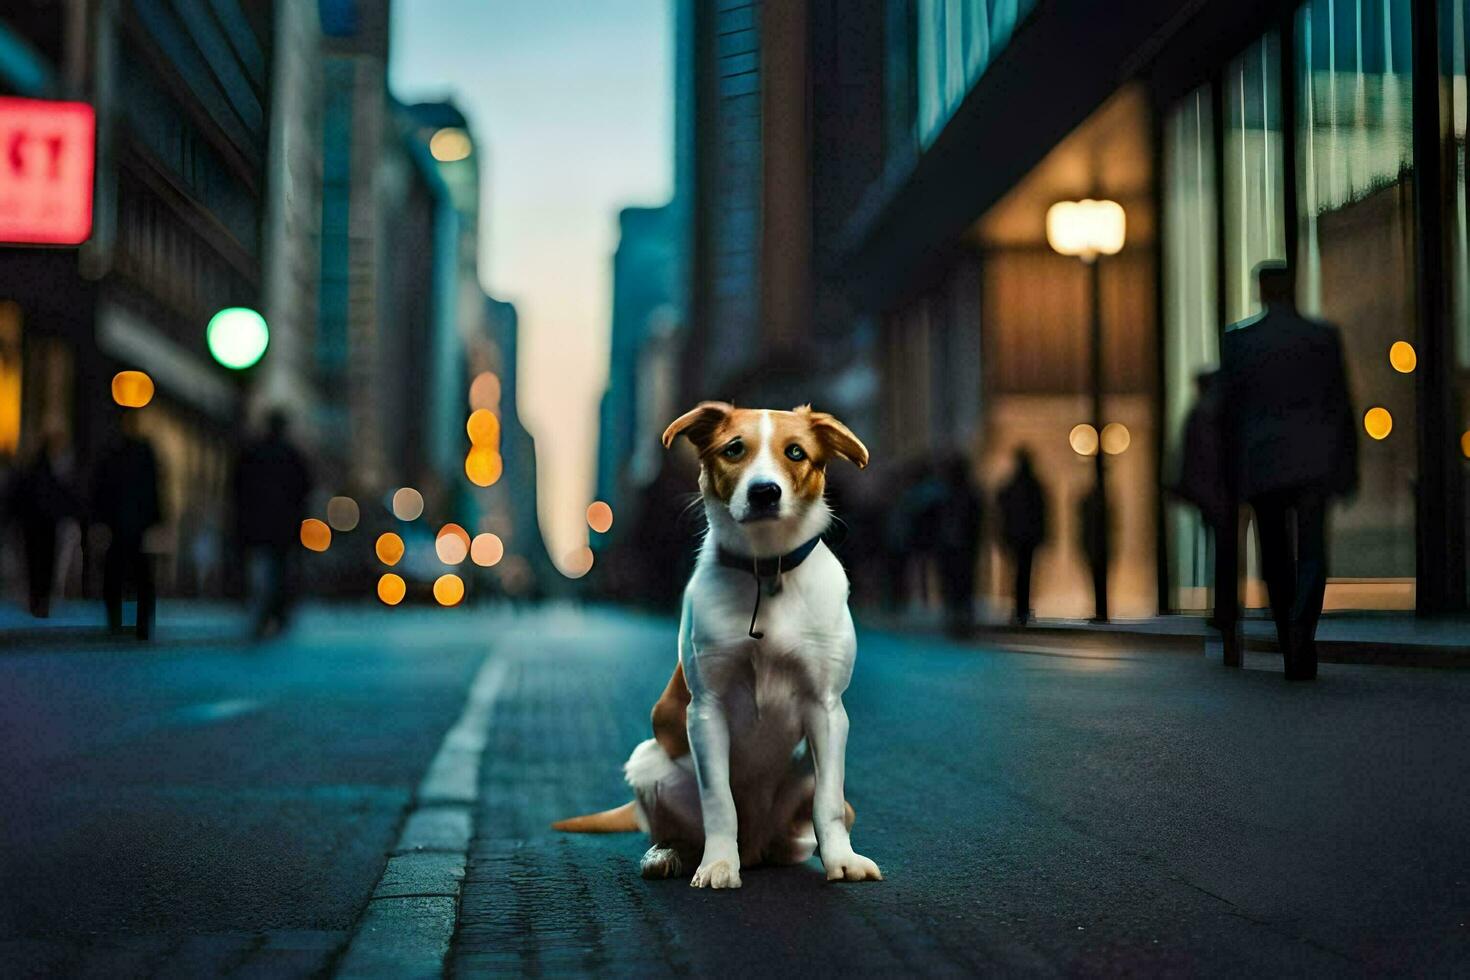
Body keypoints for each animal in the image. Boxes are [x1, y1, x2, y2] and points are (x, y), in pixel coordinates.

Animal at [549, 402, 870, 893]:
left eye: (796, 452)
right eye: (734, 449)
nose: (764, 492)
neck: (765, 570)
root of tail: (757, 847)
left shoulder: (827, 708)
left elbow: (828, 804)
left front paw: (842, 861)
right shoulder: (706, 709)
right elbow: (719, 801)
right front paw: (718, 864)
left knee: (807, 829)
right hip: (648, 763)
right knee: (682, 829)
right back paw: (670, 855)